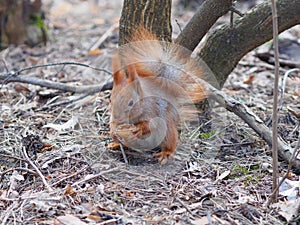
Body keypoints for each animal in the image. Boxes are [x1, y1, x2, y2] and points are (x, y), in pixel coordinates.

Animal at [109, 25, 206, 163]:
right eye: (110, 99)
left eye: (131, 102)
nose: (118, 119)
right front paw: (113, 131)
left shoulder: (152, 109)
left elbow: (149, 125)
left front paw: (137, 130)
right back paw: (116, 144)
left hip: (168, 130)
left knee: (171, 141)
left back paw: (165, 153)